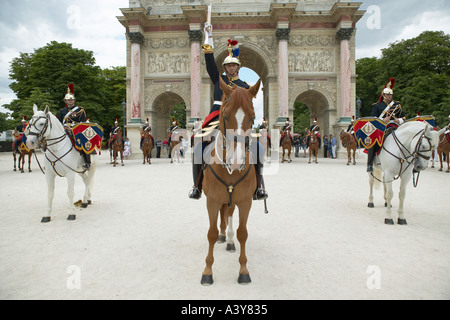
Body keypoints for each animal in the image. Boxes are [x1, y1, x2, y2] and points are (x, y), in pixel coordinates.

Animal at [200, 77, 260, 284]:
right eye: (225, 117)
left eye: (252, 118)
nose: (236, 161)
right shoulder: (212, 200)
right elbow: (210, 233)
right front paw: (207, 272)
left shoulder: (245, 201)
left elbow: (243, 233)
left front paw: (243, 271)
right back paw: (222, 235)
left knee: (229, 215)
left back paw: (229, 240)